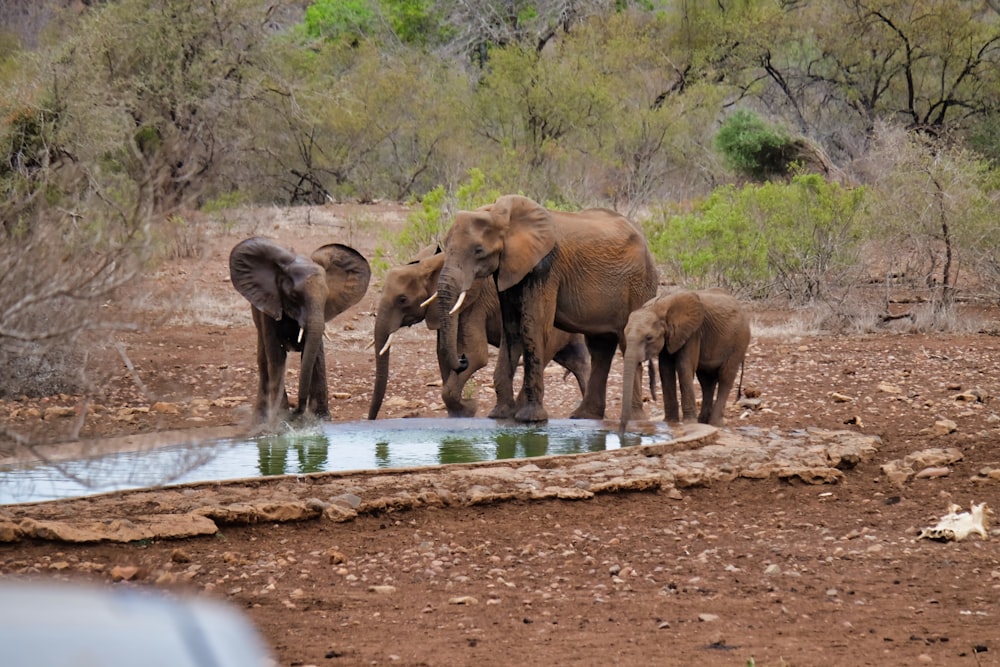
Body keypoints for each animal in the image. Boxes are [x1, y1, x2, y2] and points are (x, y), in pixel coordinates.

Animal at [230, 236, 372, 422]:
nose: (296, 411)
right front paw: (281, 418)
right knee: (263, 358)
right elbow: (276, 356)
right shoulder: (270, 307)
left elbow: (316, 355)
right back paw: (260, 419)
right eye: (294, 296)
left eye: (327, 297)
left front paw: (321, 418)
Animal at [370, 248, 592, 420]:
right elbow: (443, 355)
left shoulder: (476, 302)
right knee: (577, 361)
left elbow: (477, 355)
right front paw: (458, 413)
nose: (462, 360)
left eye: (402, 300)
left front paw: (469, 409)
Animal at [436, 193, 656, 422]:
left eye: (478, 250)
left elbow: (534, 326)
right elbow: (512, 329)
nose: (463, 359)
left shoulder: (545, 267)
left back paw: (634, 419)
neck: (503, 216)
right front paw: (500, 415)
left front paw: (530, 418)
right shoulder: (510, 269)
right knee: (600, 348)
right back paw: (584, 416)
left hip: (639, 286)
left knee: (627, 342)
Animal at [616, 288, 752, 434]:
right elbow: (665, 369)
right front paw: (670, 422)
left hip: (740, 341)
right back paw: (703, 422)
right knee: (706, 381)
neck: (658, 308)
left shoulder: (693, 332)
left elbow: (683, 366)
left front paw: (688, 423)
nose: (621, 433)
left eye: (649, 338)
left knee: (725, 377)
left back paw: (715, 424)